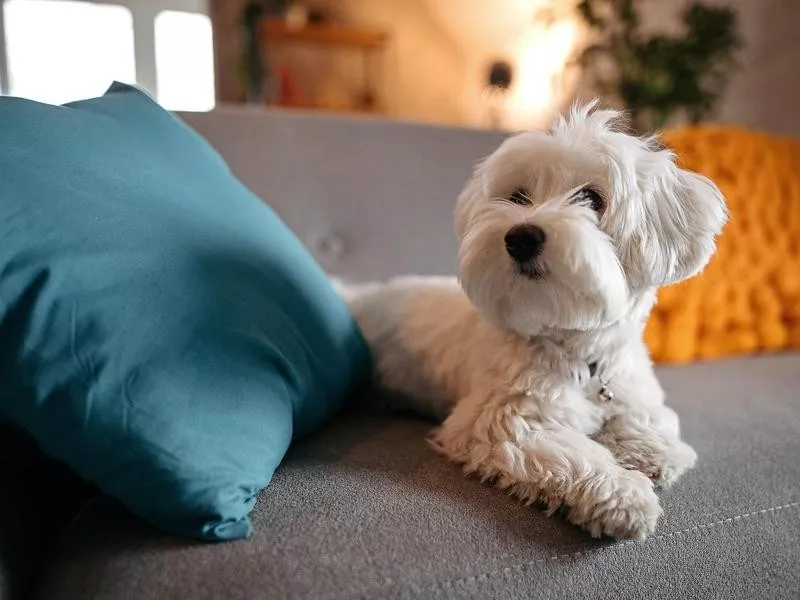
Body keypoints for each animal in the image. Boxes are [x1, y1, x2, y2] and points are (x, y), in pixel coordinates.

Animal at [340, 104, 728, 544]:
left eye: (592, 198)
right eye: (518, 197)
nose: (521, 236)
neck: (578, 352)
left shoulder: (629, 381)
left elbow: (645, 415)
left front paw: (653, 448)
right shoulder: (500, 422)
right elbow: (576, 456)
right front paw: (623, 494)